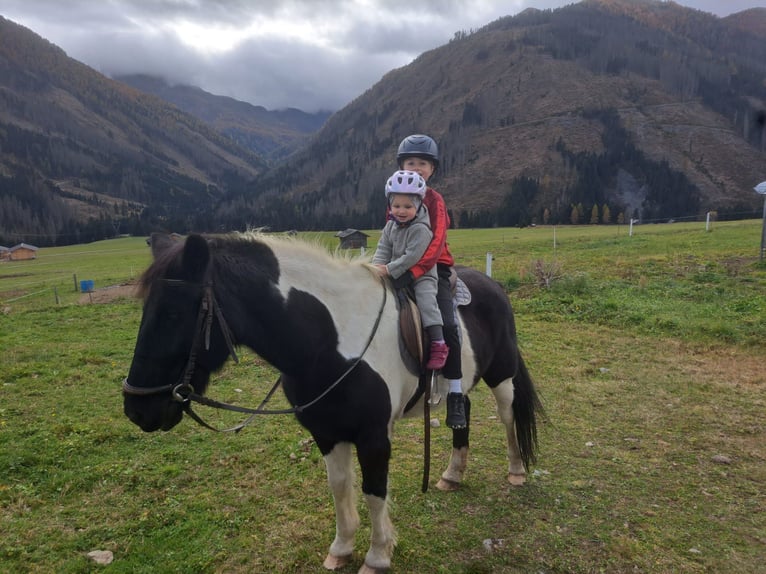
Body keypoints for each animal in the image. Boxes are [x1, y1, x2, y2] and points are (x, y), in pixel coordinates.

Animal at [123, 231, 543, 574]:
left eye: (174, 313)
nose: (137, 409)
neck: (330, 339)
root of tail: (493, 284)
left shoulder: (374, 437)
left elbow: (374, 490)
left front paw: (377, 556)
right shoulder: (326, 431)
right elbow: (340, 487)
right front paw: (341, 549)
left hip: (502, 376)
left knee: (507, 414)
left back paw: (517, 470)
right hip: (461, 386)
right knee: (463, 410)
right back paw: (452, 474)